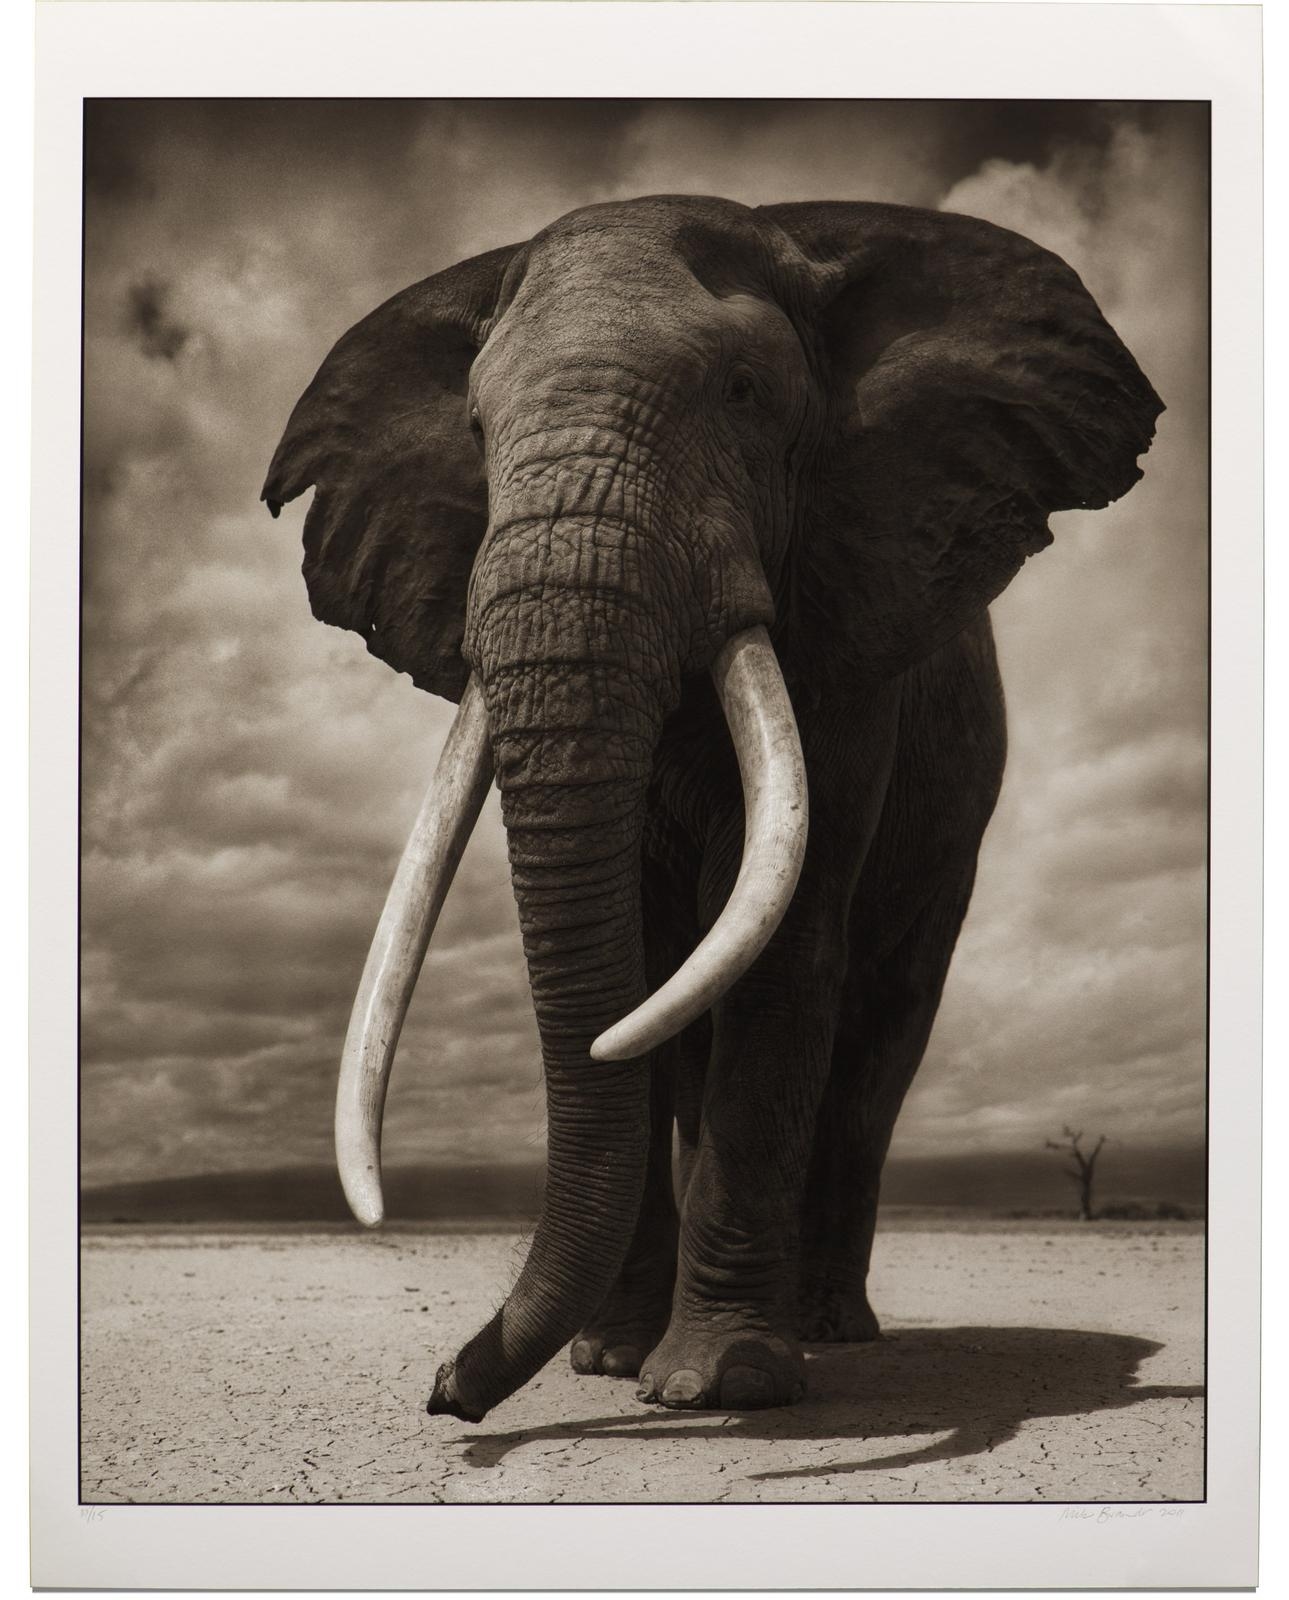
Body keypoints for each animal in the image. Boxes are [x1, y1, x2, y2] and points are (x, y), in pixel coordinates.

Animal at [263, 194, 1161, 1423]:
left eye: (741, 393)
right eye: (478, 432)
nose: (448, 1389)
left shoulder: (849, 626)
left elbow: (777, 948)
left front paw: (715, 1382)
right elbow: (640, 969)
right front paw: (606, 1361)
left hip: (955, 833)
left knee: (877, 1043)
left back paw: (827, 1327)